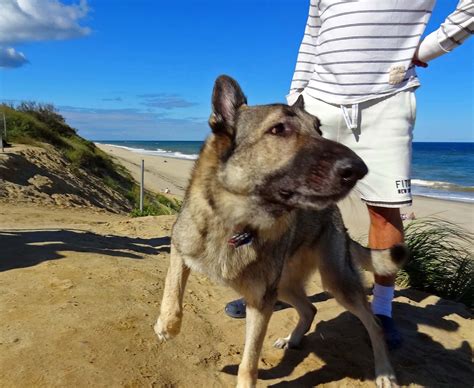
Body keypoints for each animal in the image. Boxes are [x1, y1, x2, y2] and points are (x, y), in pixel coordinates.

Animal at [156, 76, 408, 388]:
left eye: (318, 128)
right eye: (279, 129)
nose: (359, 170)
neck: (235, 222)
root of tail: (336, 216)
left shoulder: (261, 303)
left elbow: (249, 362)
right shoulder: (180, 247)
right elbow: (172, 289)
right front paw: (167, 325)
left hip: (336, 283)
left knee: (373, 324)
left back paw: (384, 371)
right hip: (286, 284)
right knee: (310, 309)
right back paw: (294, 339)